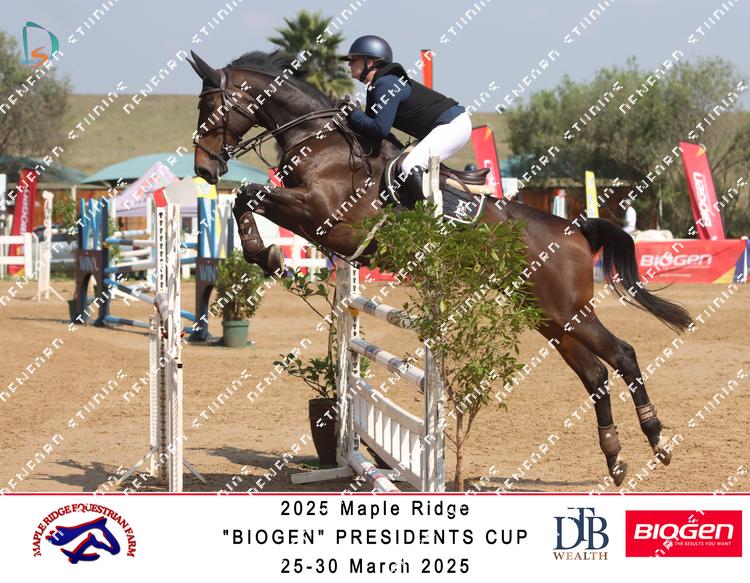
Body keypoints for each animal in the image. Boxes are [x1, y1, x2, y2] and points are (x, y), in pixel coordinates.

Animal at [188, 49, 692, 489]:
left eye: (210, 107)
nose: (204, 170)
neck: (320, 139)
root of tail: (575, 230)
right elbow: (247, 198)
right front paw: (266, 254)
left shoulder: (322, 215)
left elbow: (249, 194)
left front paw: (266, 255)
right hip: (546, 315)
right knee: (595, 375)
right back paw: (616, 458)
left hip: (567, 310)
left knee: (623, 355)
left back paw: (656, 440)